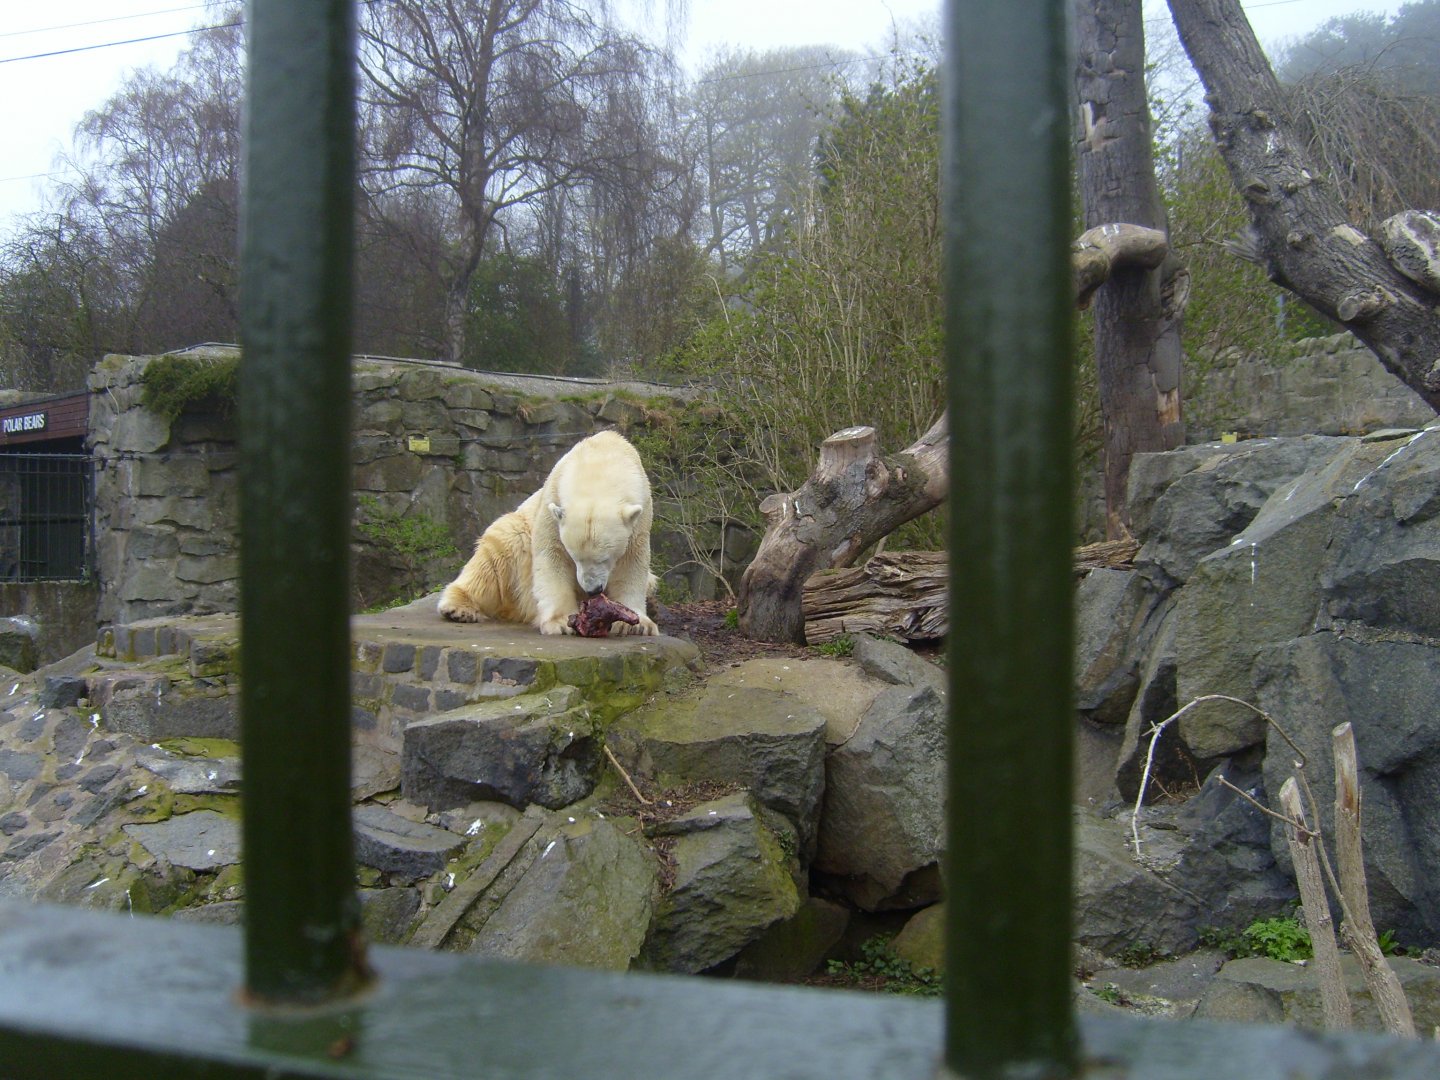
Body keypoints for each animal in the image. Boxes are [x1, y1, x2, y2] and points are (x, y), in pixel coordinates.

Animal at [437, 430, 659, 636]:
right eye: (574, 557)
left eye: (606, 559)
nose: (592, 590)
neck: (600, 458)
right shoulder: (551, 506)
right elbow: (551, 556)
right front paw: (561, 622)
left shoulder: (641, 518)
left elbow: (632, 564)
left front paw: (637, 625)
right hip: (518, 536)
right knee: (494, 559)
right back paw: (458, 609)